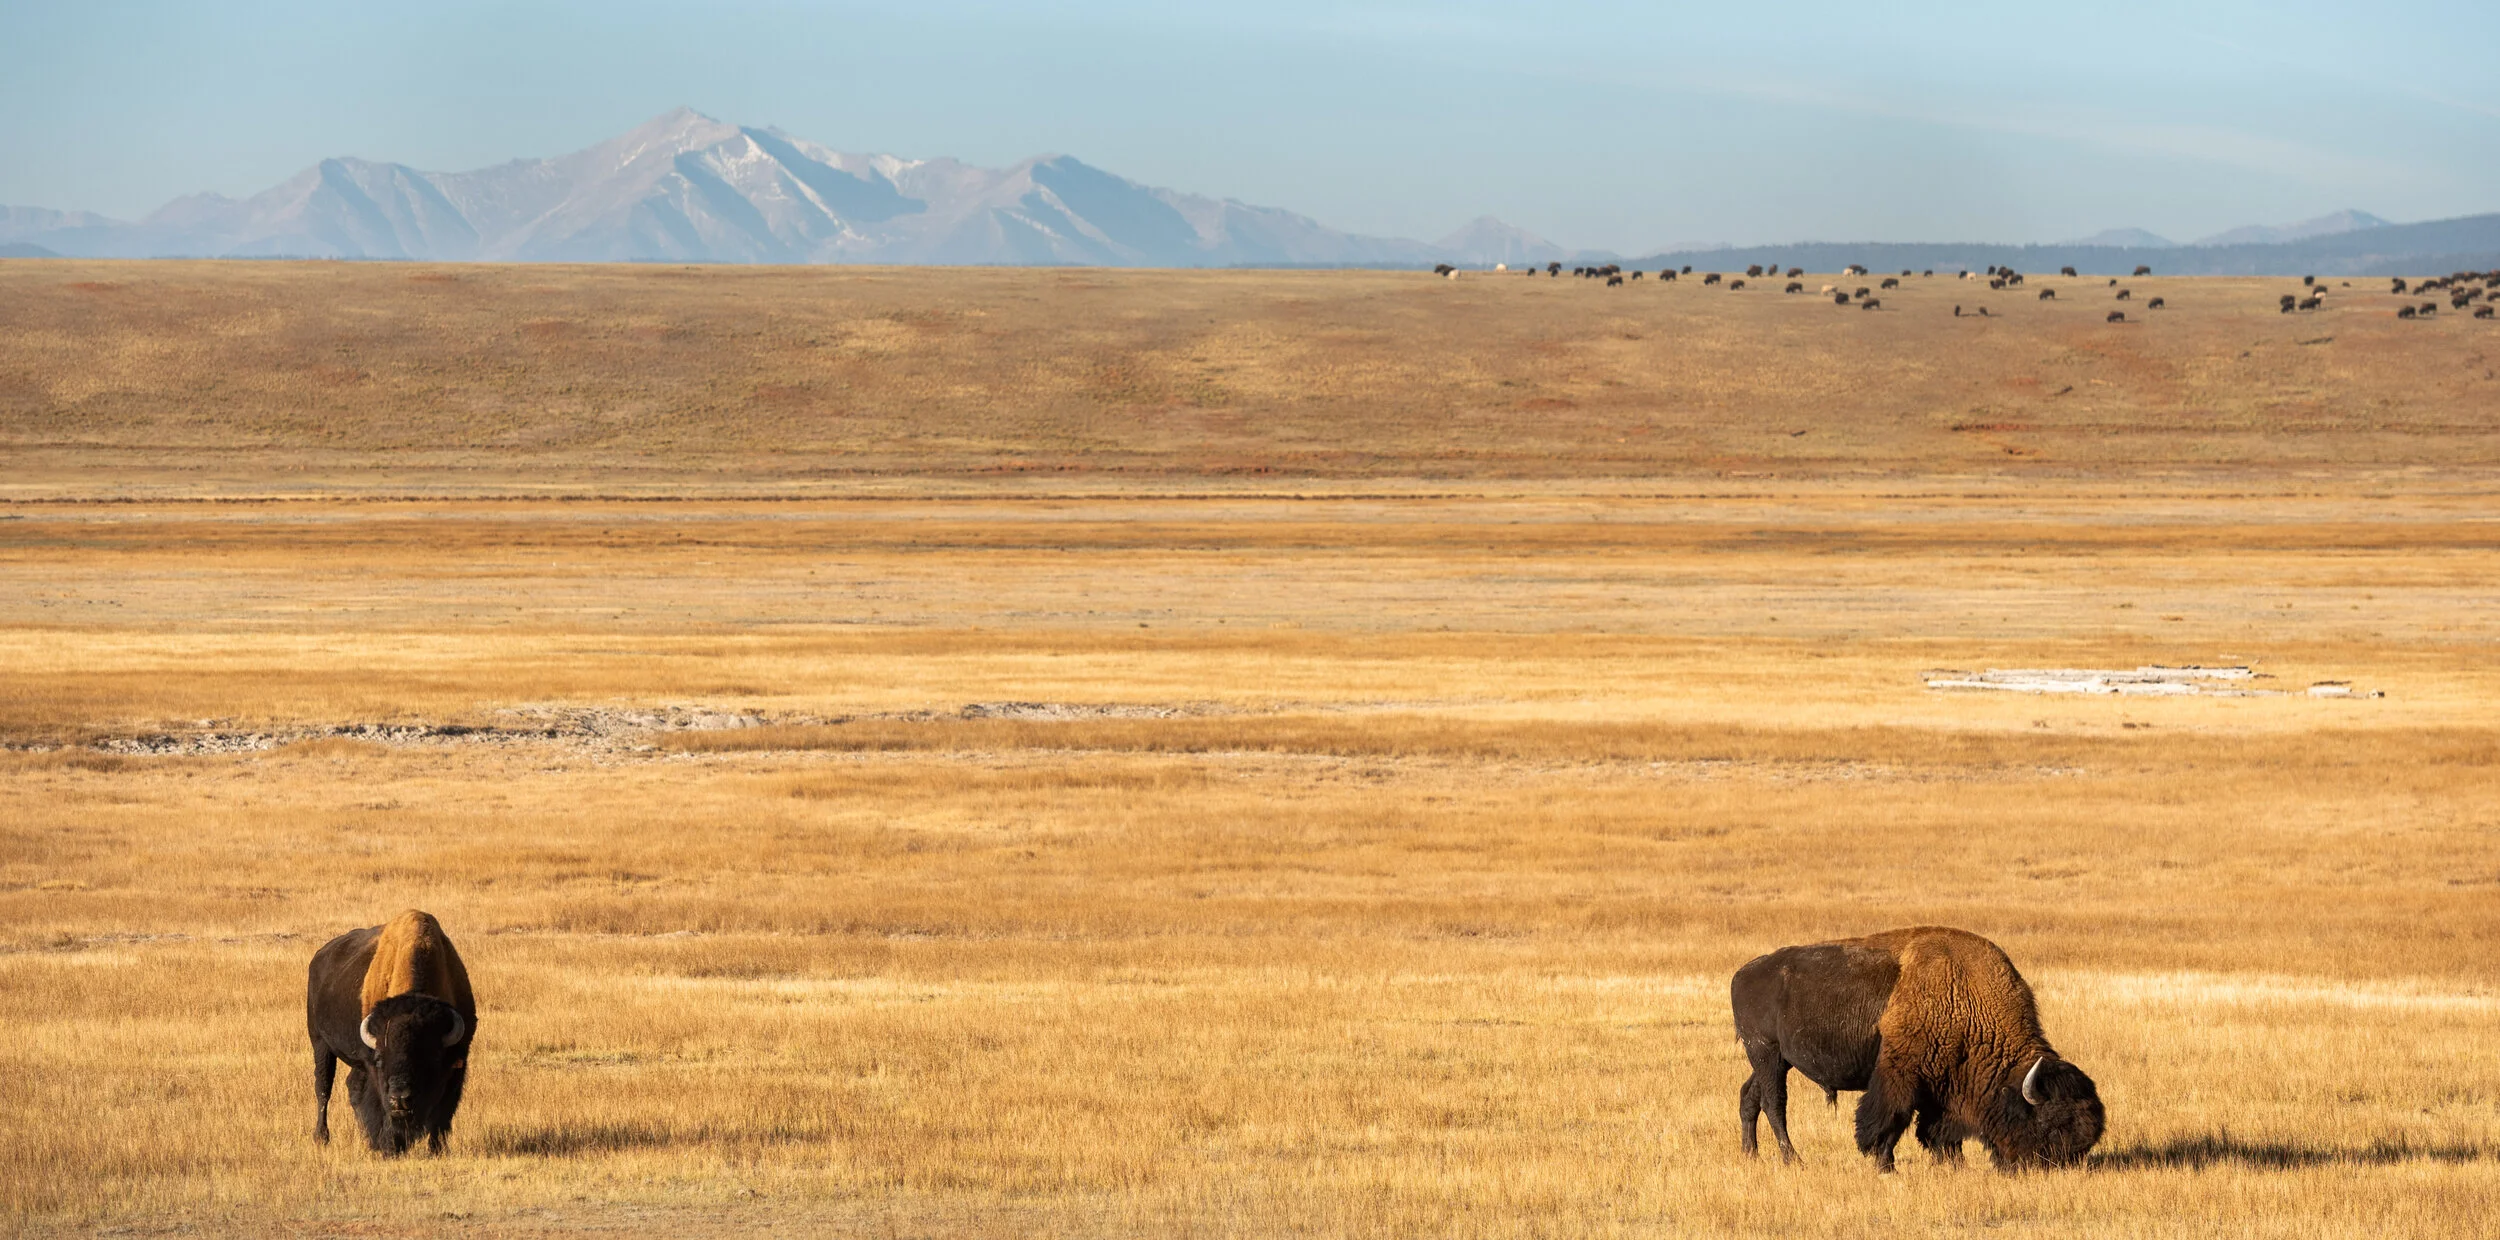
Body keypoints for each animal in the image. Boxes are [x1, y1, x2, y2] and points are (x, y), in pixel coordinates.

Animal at [308, 910, 476, 1154]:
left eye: (430, 1058)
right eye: (380, 1059)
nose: (400, 1098)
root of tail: (319, 957)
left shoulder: (459, 1059)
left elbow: (443, 1111)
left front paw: (436, 1149)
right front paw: (389, 1148)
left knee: (351, 1086)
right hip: (320, 1042)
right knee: (323, 1087)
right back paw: (322, 1137)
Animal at [1733, 926, 2104, 1173]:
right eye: (2053, 1123)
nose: (2065, 1168)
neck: (1966, 995)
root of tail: (1742, 974)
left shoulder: (1941, 1079)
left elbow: (1936, 1126)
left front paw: (1953, 1163)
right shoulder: (1900, 1072)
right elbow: (1891, 1117)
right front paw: (1885, 1165)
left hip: (1772, 1061)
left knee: (1749, 1096)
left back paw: (1751, 1155)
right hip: (1767, 1054)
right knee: (1774, 1103)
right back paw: (1792, 1159)